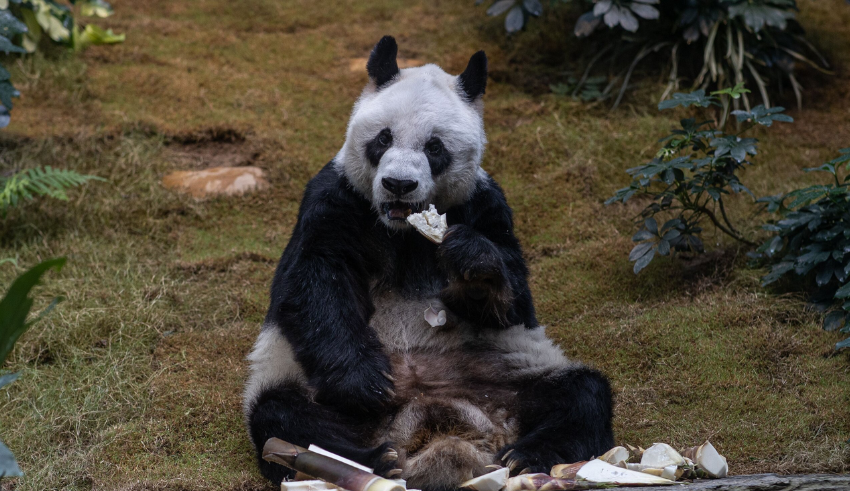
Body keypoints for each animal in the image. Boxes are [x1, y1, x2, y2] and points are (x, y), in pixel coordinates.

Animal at [242, 35, 612, 491]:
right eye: (383, 139)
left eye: (434, 147)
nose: (398, 184)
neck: (402, 230)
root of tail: (437, 428)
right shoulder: (335, 199)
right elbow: (314, 282)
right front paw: (365, 382)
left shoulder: (485, 205)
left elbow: (513, 298)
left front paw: (473, 261)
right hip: (303, 382)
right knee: (284, 415)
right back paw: (371, 461)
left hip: (508, 371)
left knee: (582, 394)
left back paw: (525, 457)